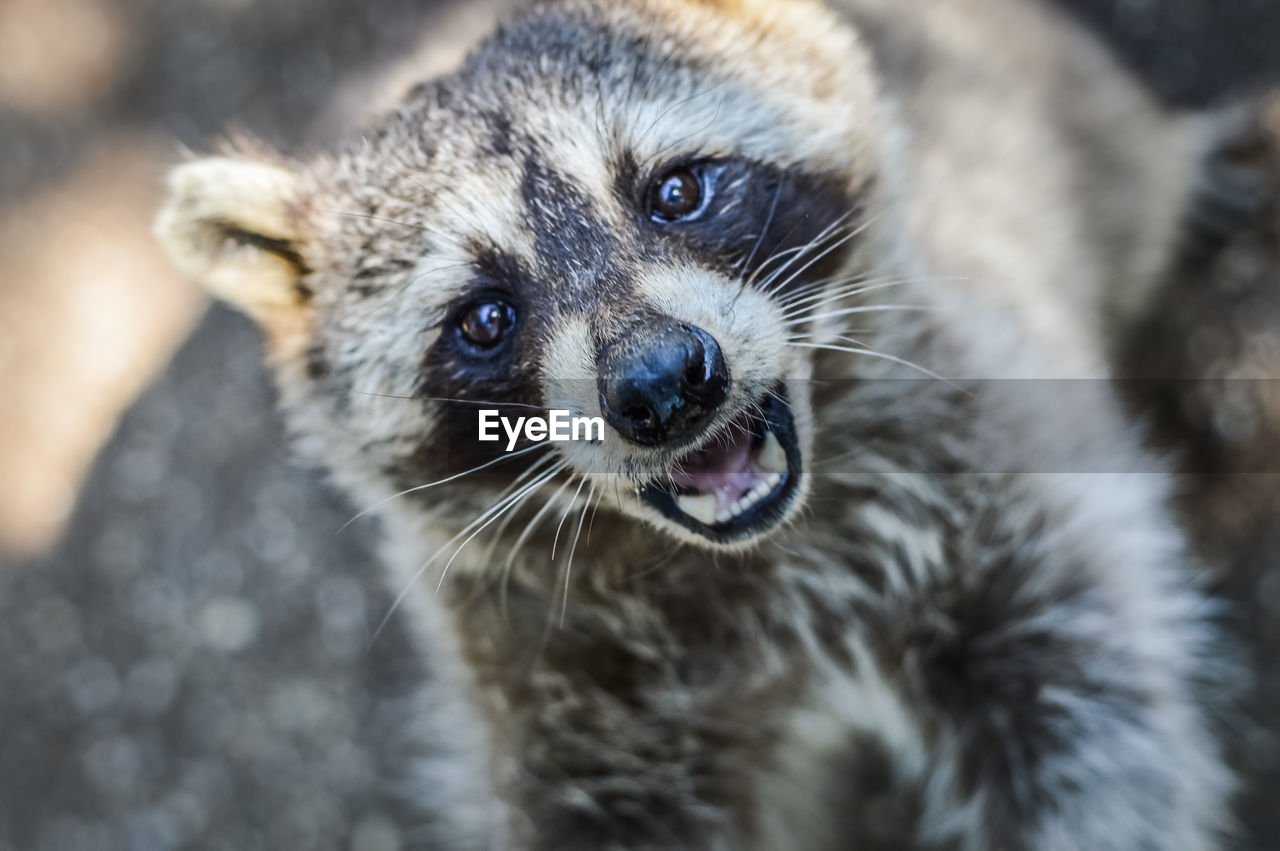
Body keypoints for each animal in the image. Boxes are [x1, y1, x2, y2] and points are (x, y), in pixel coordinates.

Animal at [154, 0, 1233, 844]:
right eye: (485, 318)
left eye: (675, 190)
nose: (663, 385)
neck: (759, 559)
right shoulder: (550, 683)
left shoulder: (1009, 500)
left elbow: (1099, 739)